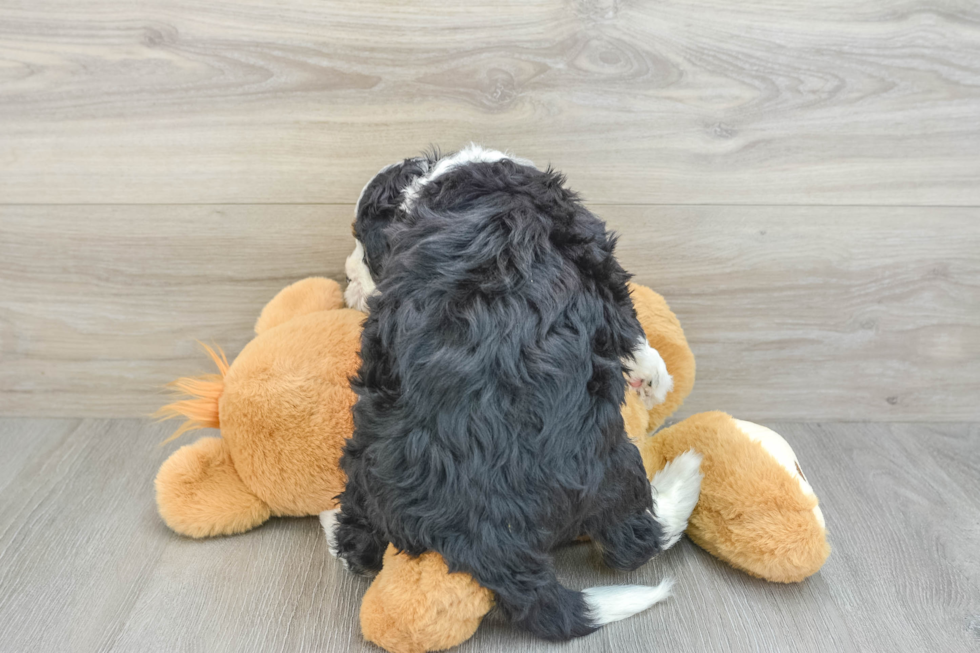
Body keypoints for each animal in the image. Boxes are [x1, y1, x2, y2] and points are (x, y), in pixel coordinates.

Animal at [326, 145, 700, 640]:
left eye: (361, 242)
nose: (346, 279)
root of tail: (489, 533)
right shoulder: (596, 258)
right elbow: (630, 324)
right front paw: (654, 378)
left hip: (367, 452)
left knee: (358, 541)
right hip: (610, 461)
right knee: (635, 538)